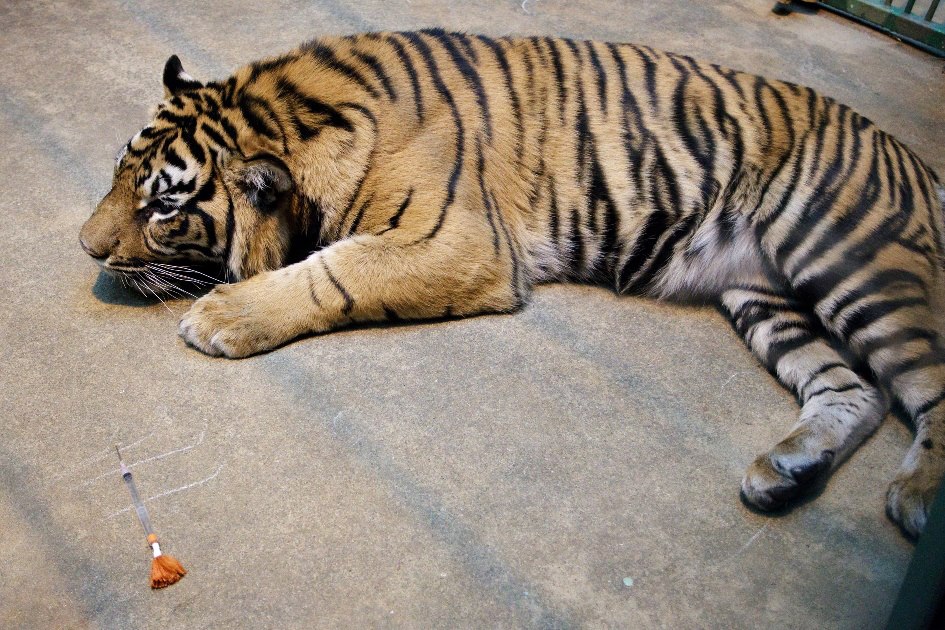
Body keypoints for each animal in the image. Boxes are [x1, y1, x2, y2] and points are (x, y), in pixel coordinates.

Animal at [79, 29, 944, 540]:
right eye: (121, 174)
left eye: (162, 204)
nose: (85, 248)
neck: (299, 113)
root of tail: (910, 155)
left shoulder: (456, 239)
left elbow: (336, 271)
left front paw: (222, 315)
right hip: (764, 296)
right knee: (854, 392)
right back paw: (784, 473)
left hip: (855, 261)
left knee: (926, 386)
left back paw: (916, 500)